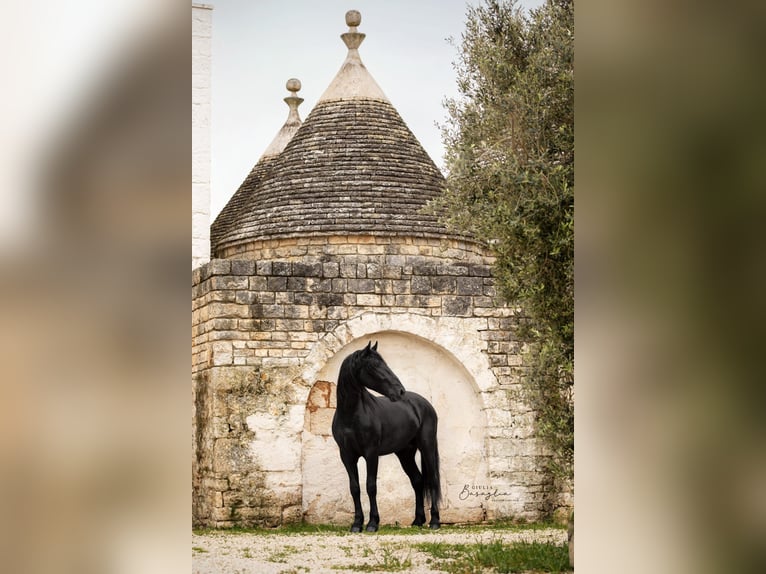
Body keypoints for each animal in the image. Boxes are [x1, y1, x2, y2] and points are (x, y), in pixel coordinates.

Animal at [331, 341, 441, 532]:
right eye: (374, 366)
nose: (400, 391)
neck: (351, 415)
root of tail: (425, 405)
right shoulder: (346, 455)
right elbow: (355, 488)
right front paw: (356, 524)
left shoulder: (371, 453)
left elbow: (371, 486)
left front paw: (372, 523)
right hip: (405, 453)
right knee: (417, 480)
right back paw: (417, 520)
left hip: (426, 446)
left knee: (433, 479)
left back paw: (434, 521)